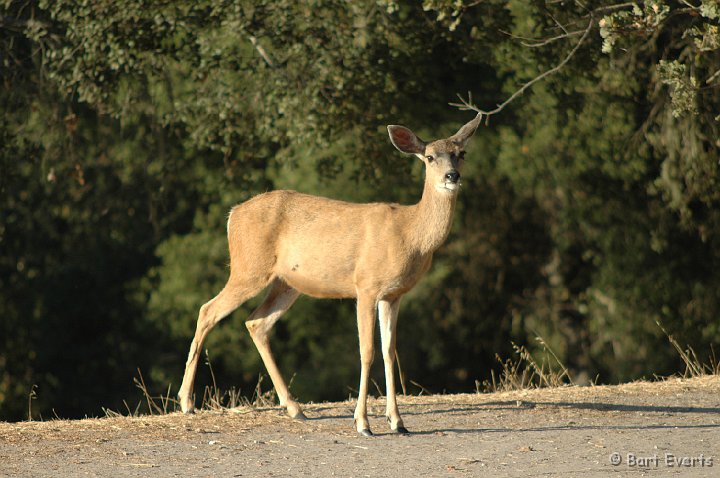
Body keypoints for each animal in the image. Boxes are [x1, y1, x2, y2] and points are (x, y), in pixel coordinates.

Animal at [179, 114, 484, 436]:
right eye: (429, 157)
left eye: (461, 153)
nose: (452, 176)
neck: (410, 233)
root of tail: (232, 214)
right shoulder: (366, 286)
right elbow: (367, 351)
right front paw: (363, 423)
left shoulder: (393, 295)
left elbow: (390, 352)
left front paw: (398, 422)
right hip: (248, 267)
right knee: (207, 310)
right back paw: (187, 403)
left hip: (286, 283)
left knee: (256, 322)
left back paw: (295, 408)